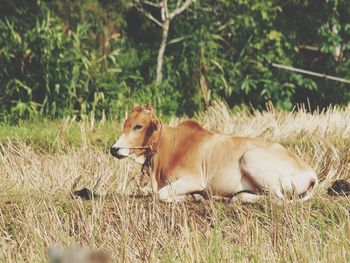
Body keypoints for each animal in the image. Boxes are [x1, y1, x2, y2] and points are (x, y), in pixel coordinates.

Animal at [110, 103, 318, 204]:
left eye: (139, 126)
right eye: (125, 124)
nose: (114, 149)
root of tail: (311, 173)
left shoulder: (194, 179)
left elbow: (161, 194)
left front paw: (192, 197)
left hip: (251, 158)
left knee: (277, 199)